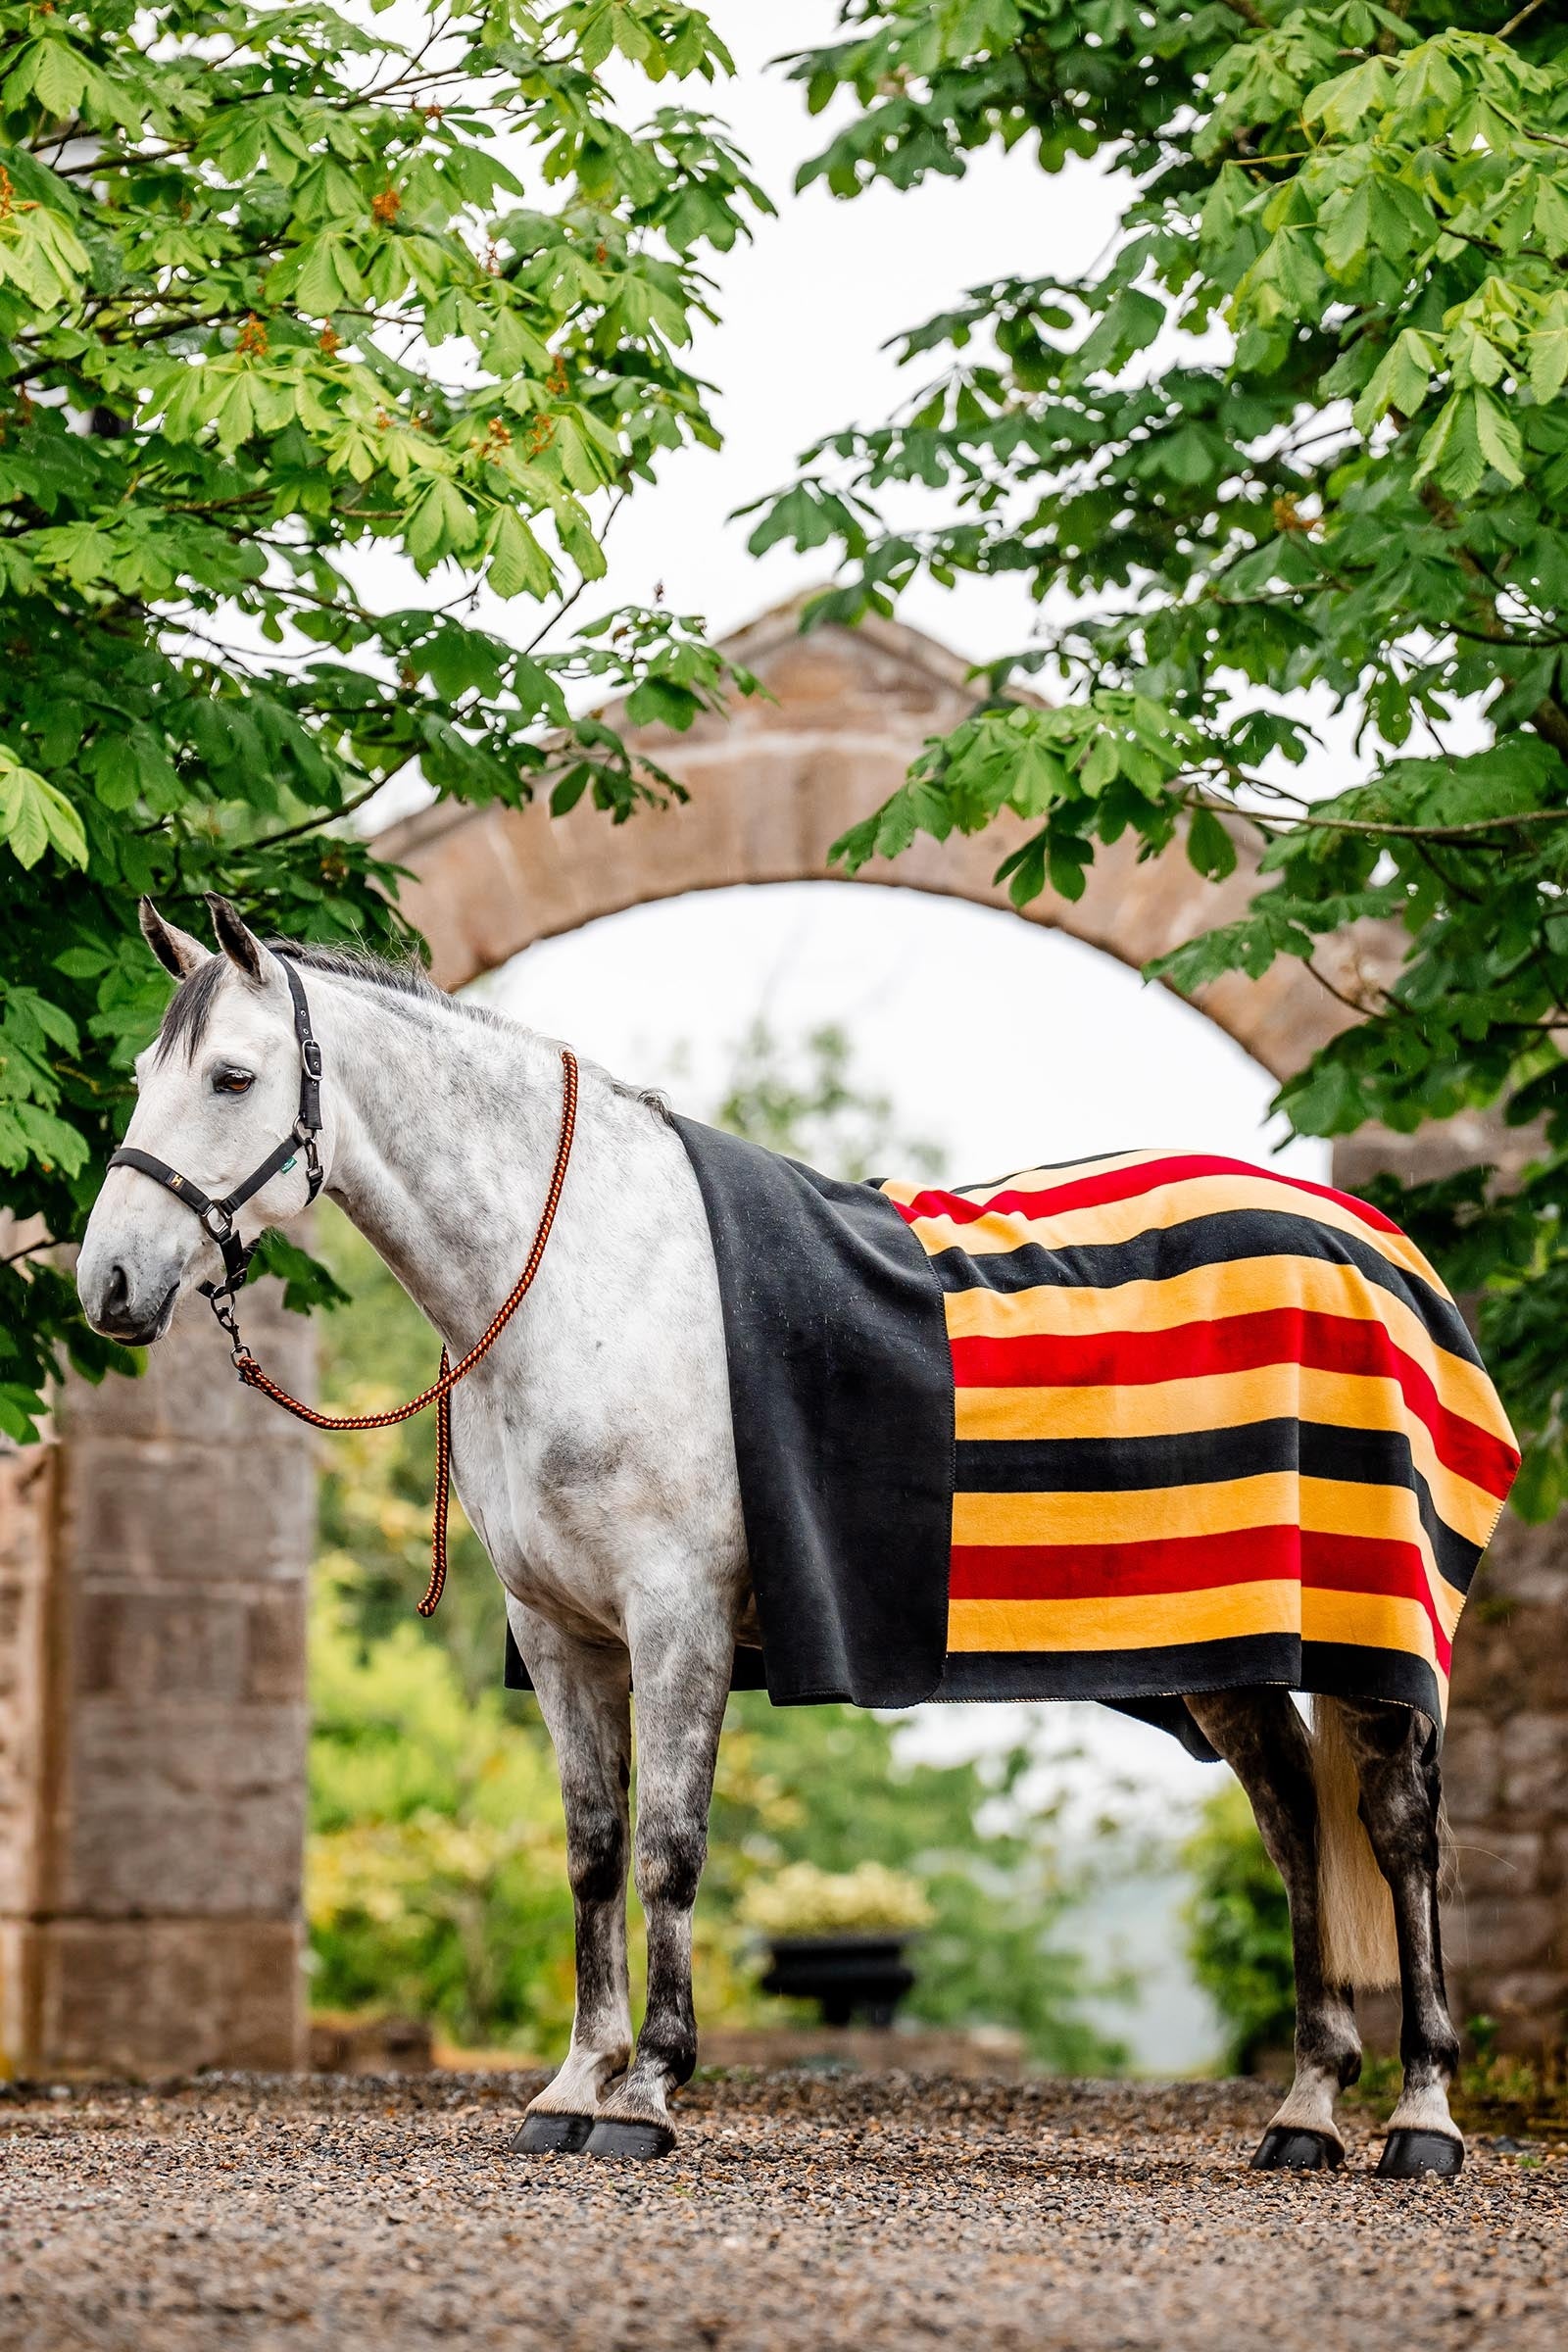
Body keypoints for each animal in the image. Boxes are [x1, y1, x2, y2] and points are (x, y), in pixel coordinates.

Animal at [77, 895, 1509, 2177]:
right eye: (146, 1075)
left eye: (233, 1075)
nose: (110, 1285)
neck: (585, 1278)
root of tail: (1373, 1247)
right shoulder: (561, 1633)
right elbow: (592, 1853)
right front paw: (570, 2088)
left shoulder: (679, 1618)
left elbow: (668, 1848)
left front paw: (647, 2094)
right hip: (1227, 1647)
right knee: (1294, 1825)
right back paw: (1305, 2112)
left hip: (1371, 1638)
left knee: (1398, 1831)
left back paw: (1420, 2119)